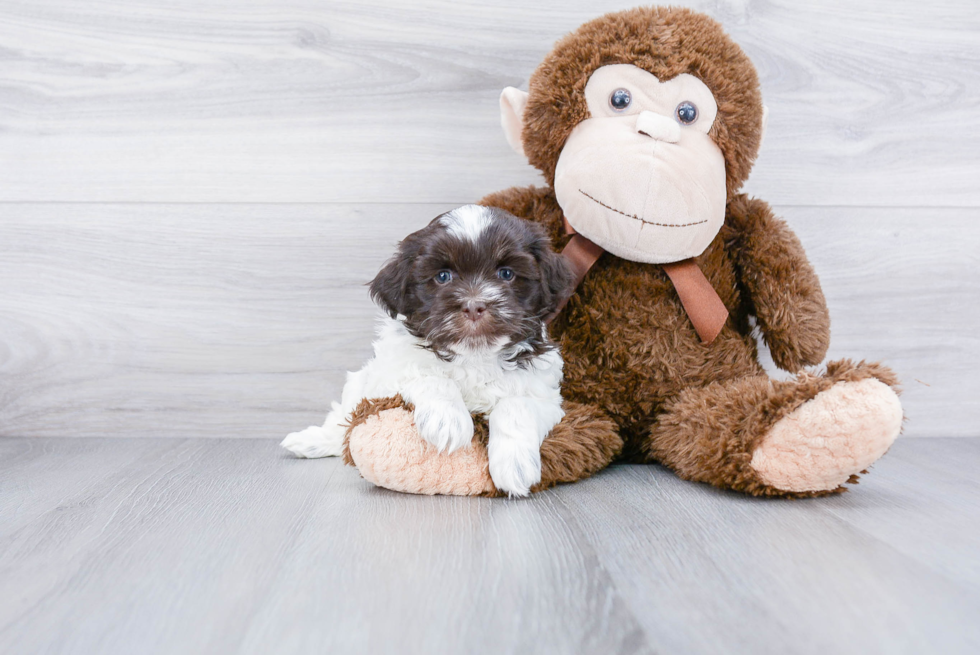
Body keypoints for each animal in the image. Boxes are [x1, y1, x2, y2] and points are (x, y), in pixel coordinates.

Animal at [282, 206, 576, 498]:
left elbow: (516, 405)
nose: (474, 306)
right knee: (341, 419)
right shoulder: (389, 373)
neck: (474, 357)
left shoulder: (545, 395)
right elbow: (429, 377)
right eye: (443, 276)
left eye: (506, 274)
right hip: (358, 383)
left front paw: (515, 464)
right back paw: (311, 441)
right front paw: (447, 420)